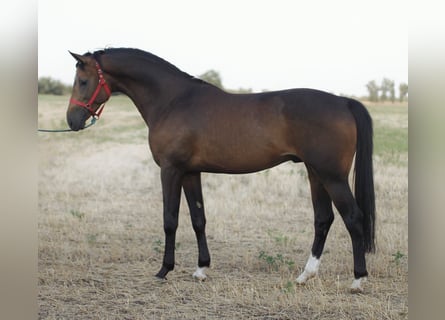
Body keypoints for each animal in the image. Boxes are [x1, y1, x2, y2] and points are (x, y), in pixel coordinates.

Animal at [67, 47, 374, 292]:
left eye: (83, 81)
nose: (72, 120)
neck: (173, 101)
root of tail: (344, 102)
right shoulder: (190, 173)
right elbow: (198, 219)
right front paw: (201, 269)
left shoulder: (170, 170)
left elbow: (170, 220)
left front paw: (164, 270)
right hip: (315, 173)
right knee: (323, 219)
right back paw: (305, 275)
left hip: (332, 176)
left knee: (353, 217)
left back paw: (358, 280)